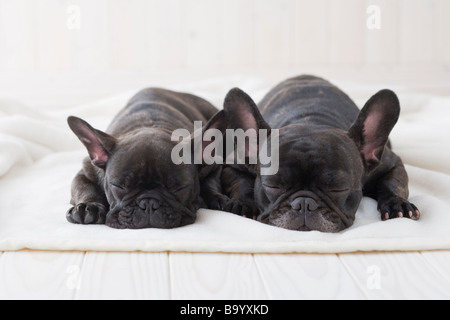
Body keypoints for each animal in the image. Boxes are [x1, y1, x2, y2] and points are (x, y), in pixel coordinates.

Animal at [223, 75, 420, 231]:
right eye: (273, 186)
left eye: (339, 189)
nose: (304, 204)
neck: (312, 119)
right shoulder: (234, 164)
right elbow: (241, 183)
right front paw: (244, 205)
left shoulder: (392, 163)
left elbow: (393, 183)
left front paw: (397, 203)